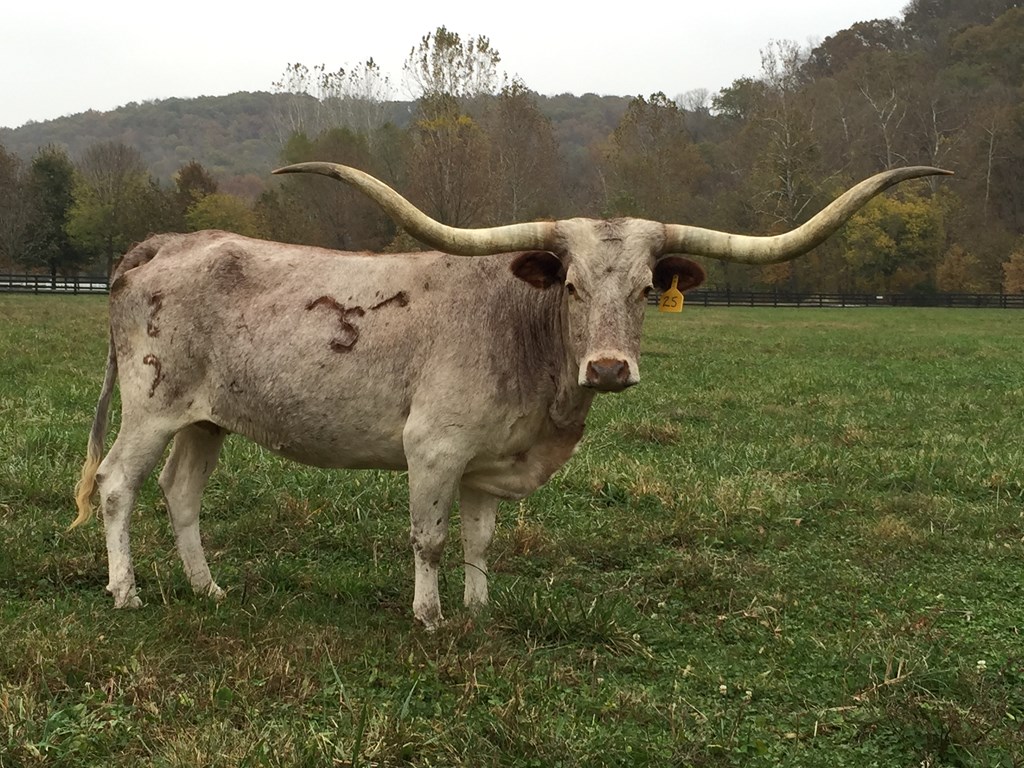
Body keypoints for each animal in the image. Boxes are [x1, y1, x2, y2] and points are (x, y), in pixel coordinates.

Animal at [72, 163, 951, 629]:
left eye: (645, 289)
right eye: (569, 284)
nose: (608, 369)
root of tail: (168, 239)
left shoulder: (487, 466)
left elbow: (479, 541)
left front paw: (479, 611)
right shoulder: (432, 449)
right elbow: (428, 539)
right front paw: (429, 618)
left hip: (206, 419)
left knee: (182, 494)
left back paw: (208, 589)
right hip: (150, 405)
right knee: (117, 486)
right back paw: (126, 592)